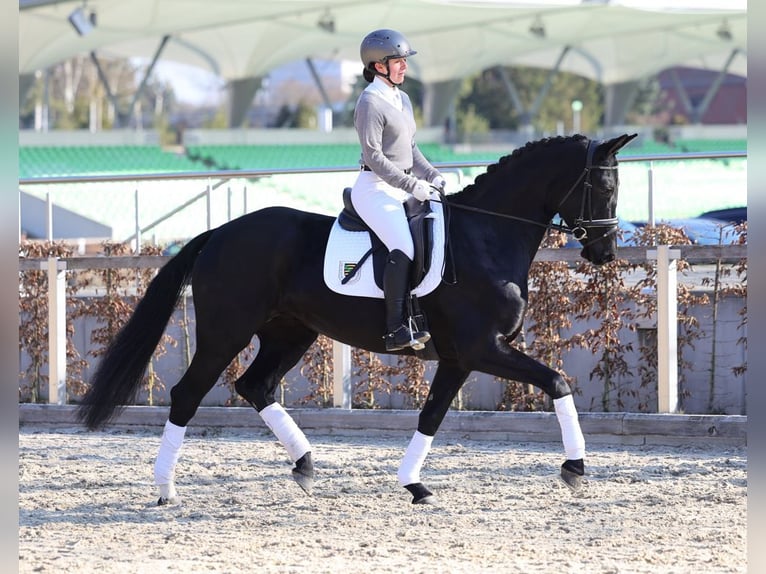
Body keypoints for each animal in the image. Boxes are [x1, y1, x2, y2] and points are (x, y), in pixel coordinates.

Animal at [77, 133, 637, 505]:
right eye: (602, 185)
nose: (606, 252)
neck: (486, 236)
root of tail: (219, 232)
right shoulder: (484, 349)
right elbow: (557, 381)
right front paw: (574, 466)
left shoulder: (459, 358)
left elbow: (431, 416)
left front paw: (414, 485)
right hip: (225, 333)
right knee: (187, 395)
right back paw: (166, 489)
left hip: (291, 334)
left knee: (255, 386)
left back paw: (305, 465)